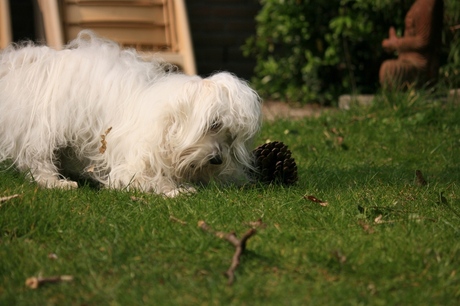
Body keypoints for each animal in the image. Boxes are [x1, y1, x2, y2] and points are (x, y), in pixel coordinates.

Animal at [0, 31, 260, 197]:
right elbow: (144, 178)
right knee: (37, 158)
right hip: (41, 126)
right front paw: (174, 190)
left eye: (230, 136)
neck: (166, 127)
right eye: (213, 124)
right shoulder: (133, 161)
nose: (217, 159)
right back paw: (55, 182)